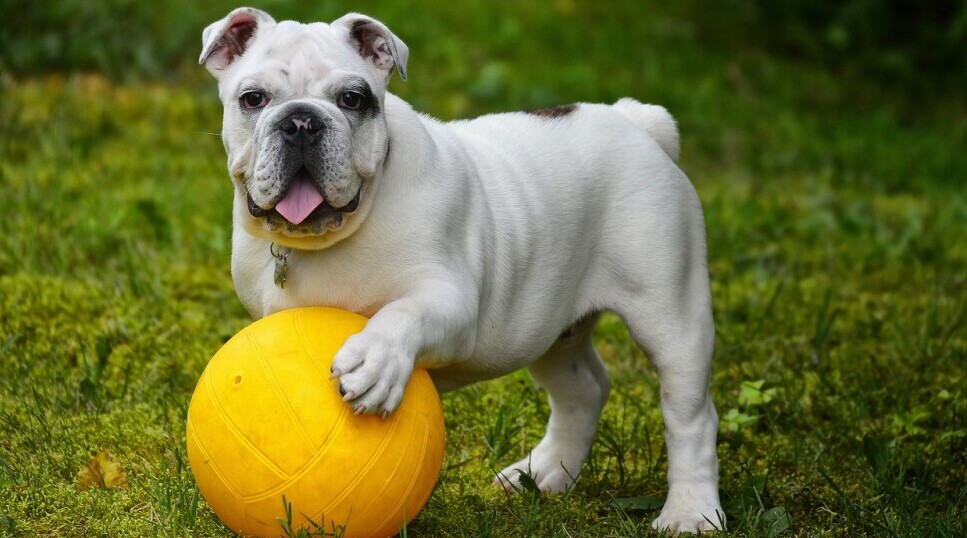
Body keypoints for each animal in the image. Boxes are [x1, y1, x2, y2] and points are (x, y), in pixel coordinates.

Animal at [200, 8, 724, 532]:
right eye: (253, 99)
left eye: (352, 99)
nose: (301, 121)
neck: (327, 238)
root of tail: (634, 120)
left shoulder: (451, 302)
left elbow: (402, 313)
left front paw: (375, 361)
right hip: (549, 327)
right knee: (583, 390)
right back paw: (544, 474)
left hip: (670, 314)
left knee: (691, 417)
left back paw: (690, 511)